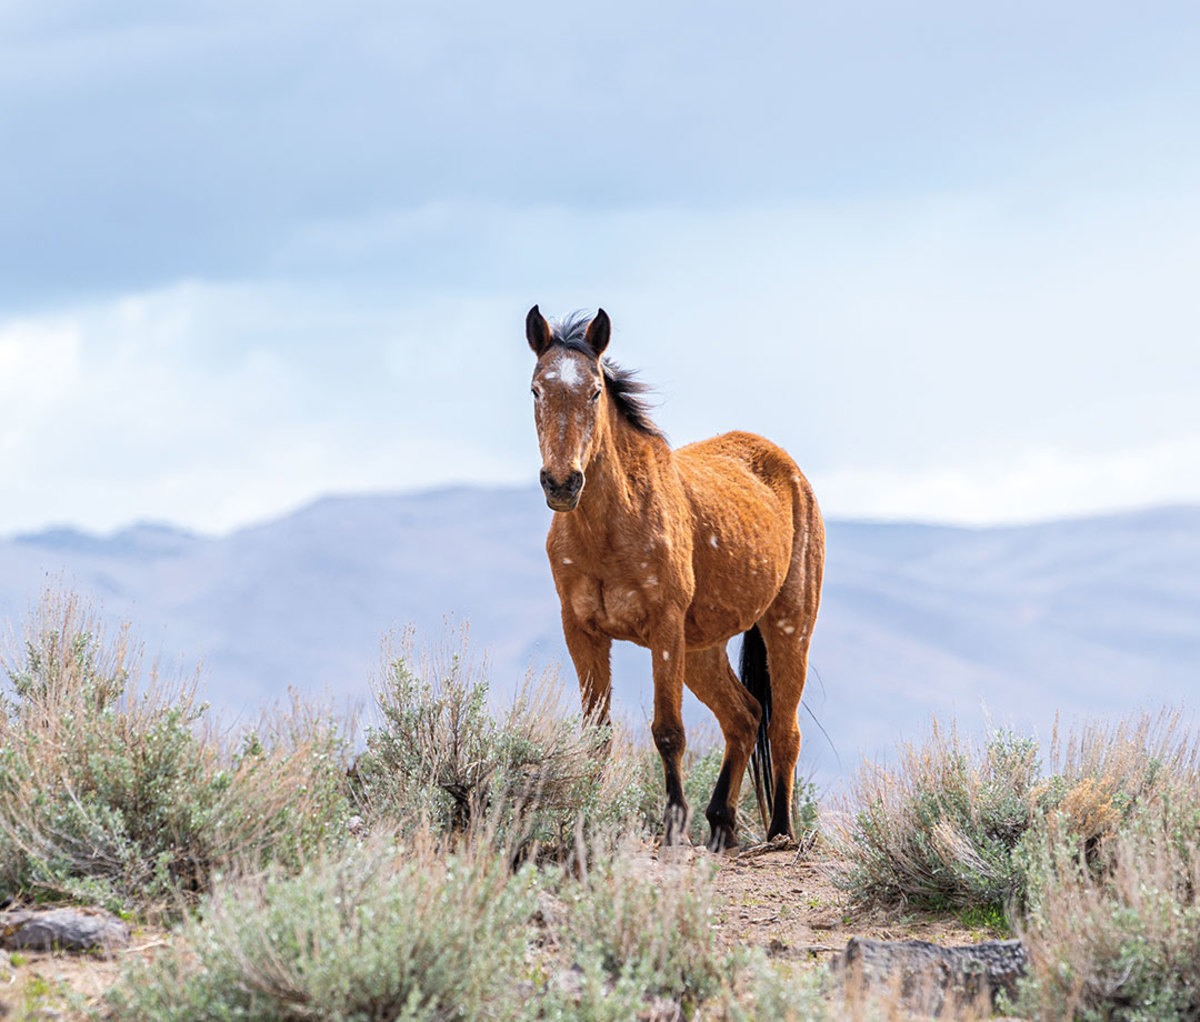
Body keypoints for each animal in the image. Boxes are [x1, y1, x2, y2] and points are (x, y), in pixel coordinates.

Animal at [525, 305, 825, 854]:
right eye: (536, 389)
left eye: (595, 391)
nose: (562, 483)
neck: (609, 527)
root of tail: (787, 468)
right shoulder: (582, 632)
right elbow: (596, 734)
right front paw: (582, 820)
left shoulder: (663, 628)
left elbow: (668, 731)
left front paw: (673, 827)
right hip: (703, 650)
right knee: (745, 716)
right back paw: (721, 825)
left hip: (789, 627)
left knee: (783, 731)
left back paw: (779, 833)